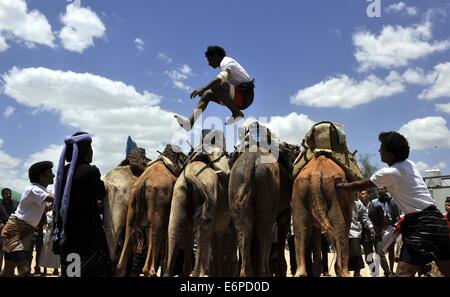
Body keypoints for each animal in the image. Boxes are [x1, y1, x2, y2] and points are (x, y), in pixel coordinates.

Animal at [116, 145, 188, 276]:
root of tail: (143, 182)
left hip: (132, 205)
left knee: (130, 233)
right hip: (156, 208)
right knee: (155, 233)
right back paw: (152, 271)